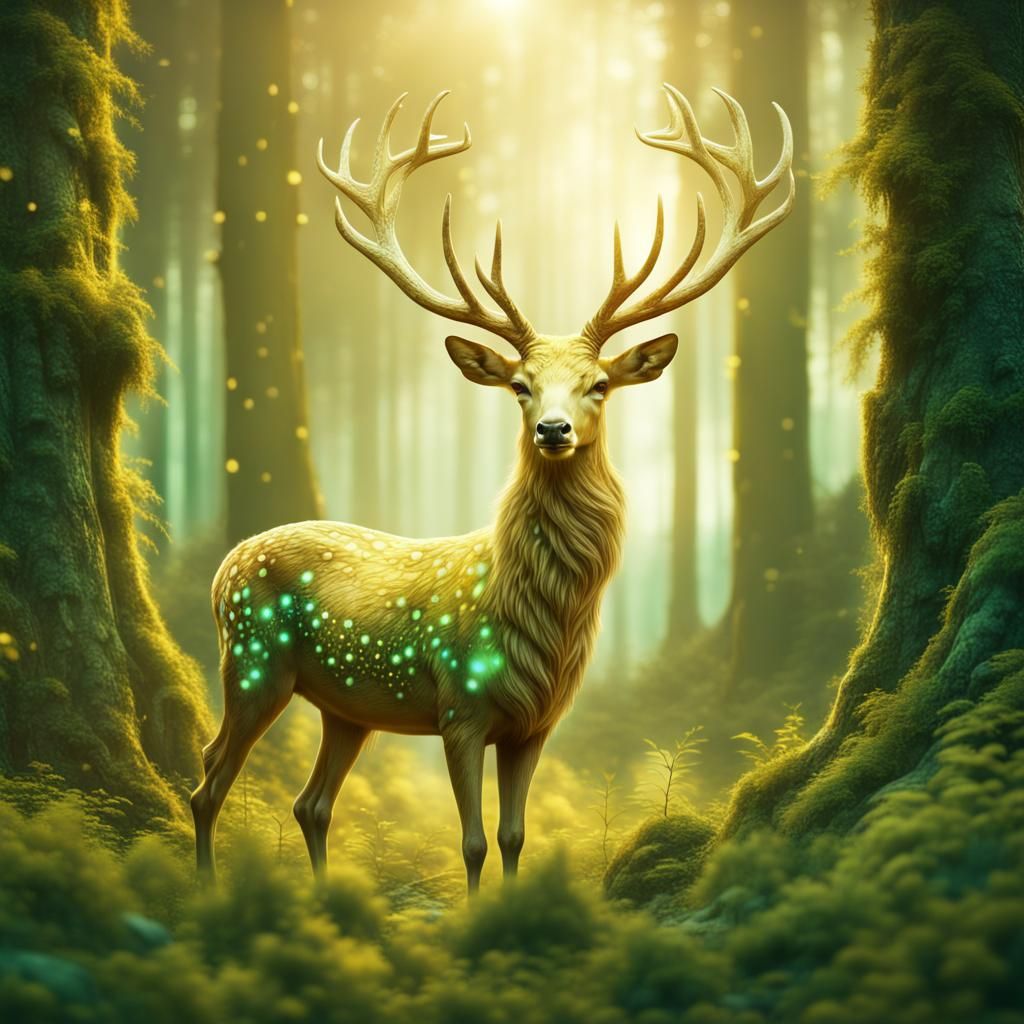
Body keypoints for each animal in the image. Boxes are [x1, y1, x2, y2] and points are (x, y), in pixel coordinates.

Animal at [191, 84, 794, 892]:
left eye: (599, 384)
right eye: (519, 385)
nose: (554, 430)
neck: (539, 620)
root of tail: (226, 564)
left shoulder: (536, 723)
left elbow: (514, 835)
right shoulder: (461, 709)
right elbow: (473, 842)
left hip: (348, 706)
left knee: (310, 803)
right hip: (254, 661)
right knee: (209, 776)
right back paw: (205, 886)